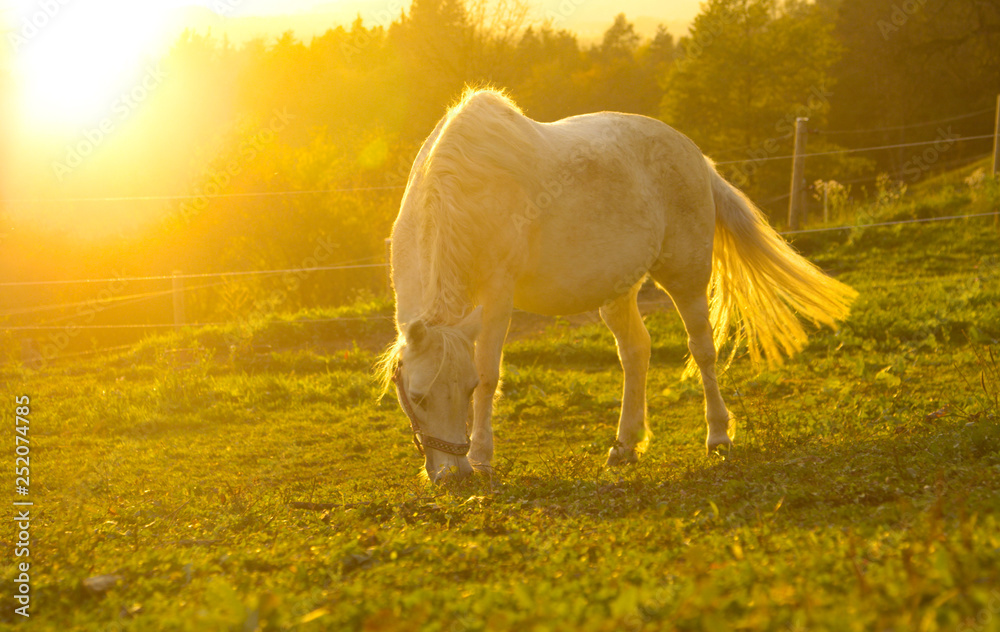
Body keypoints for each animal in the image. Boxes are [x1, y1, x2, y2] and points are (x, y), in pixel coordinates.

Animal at [378, 89, 856, 482]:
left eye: (466, 390)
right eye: (416, 397)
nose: (452, 476)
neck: (463, 190)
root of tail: (697, 158)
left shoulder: (498, 294)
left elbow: (491, 372)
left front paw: (482, 457)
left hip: (686, 276)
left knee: (702, 349)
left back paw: (718, 437)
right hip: (618, 292)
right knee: (636, 352)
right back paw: (625, 446)